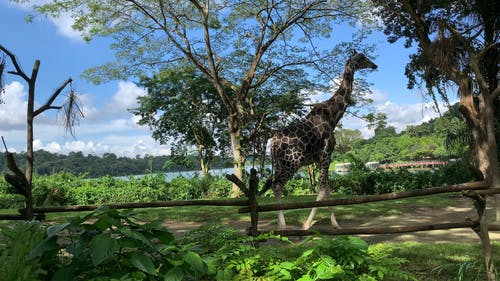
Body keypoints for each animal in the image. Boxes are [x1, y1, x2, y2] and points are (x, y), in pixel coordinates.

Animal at [266, 50, 376, 230]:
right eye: (361, 58)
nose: (374, 65)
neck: (333, 116)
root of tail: (273, 143)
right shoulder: (326, 154)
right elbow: (323, 190)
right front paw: (307, 224)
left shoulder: (319, 159)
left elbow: (327, 189)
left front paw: (335, 224)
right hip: (292, 162)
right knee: (277, 186)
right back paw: (282, 226)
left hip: (280, 163)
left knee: (275, 185)